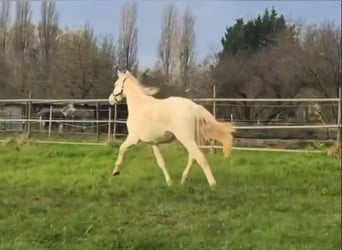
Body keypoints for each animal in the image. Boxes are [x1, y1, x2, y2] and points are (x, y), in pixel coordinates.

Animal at [107, 70, 235, 188]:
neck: (139, 105)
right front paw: (169, 182)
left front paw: (116, 171)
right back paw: (183, 180)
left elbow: (121, 148)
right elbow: (161, 162)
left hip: (186, 139)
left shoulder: (133, 138)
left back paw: (212, 185)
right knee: (192, 158)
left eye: (115, 84)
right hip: (190, 139)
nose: (110, 100)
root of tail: (194, 107)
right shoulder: (153, 142)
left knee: (200, 158)